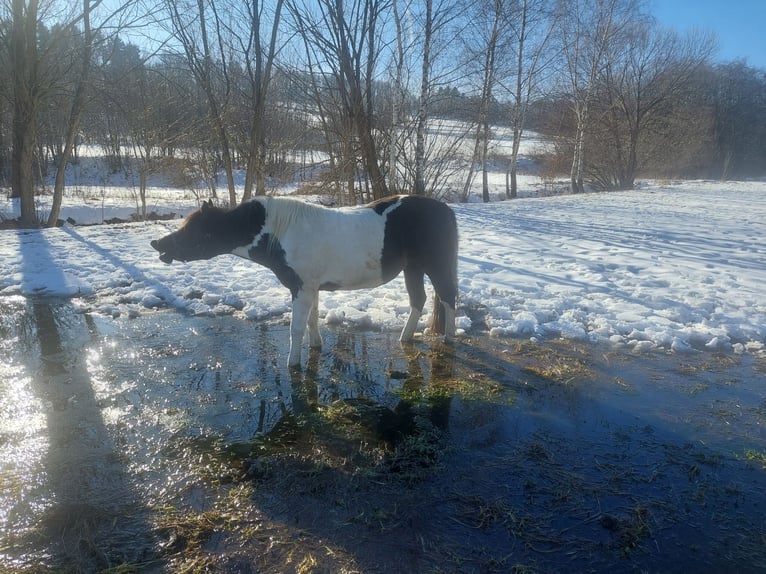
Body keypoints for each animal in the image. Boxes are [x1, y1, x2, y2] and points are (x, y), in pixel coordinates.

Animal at [153, 196, 460, 368]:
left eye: (194, 229)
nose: (157, 244)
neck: (280, 233)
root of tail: (443, 209)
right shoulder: (312, 288)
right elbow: (313, 319)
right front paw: (315, 347)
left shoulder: (300, 289)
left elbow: (296, 328)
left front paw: (293, 364)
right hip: (413, 269)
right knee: (418, 300)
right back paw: (405, 337)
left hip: (436, 266)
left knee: (447, 298)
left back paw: (448, 338)